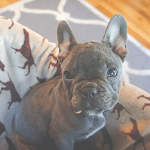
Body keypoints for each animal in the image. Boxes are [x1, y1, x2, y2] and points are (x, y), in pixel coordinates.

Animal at [13, 14, 127, 150]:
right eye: (67, 75)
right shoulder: (63, 139)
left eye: (112, 72)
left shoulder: (91, 136)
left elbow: (92, 142)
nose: (89, 90)